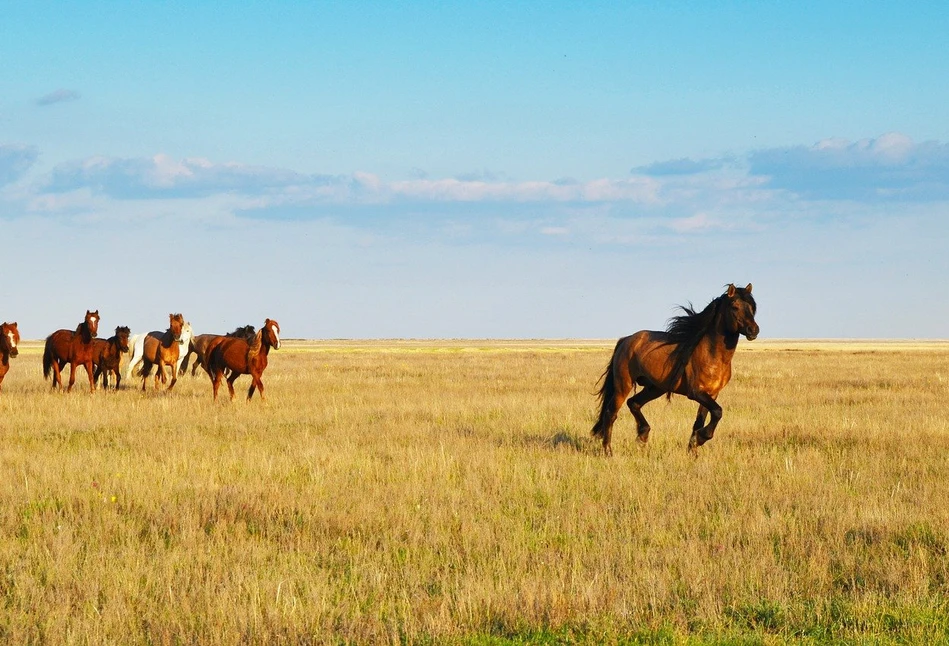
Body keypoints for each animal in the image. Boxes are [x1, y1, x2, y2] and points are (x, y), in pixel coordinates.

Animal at [588, 286, 760, 458]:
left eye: (752, 307)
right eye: (734, 307)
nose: (754, 330)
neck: (711, 354)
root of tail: (626, 339)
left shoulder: (711, 394)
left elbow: (699, 422)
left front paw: (693, 450)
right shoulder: (696, 393)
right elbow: (717, 412)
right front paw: (701, 439)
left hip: (655, 388)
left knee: (634, 403)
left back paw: (643, 436)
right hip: (623, 385)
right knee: (611, 413)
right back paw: (608, 451)